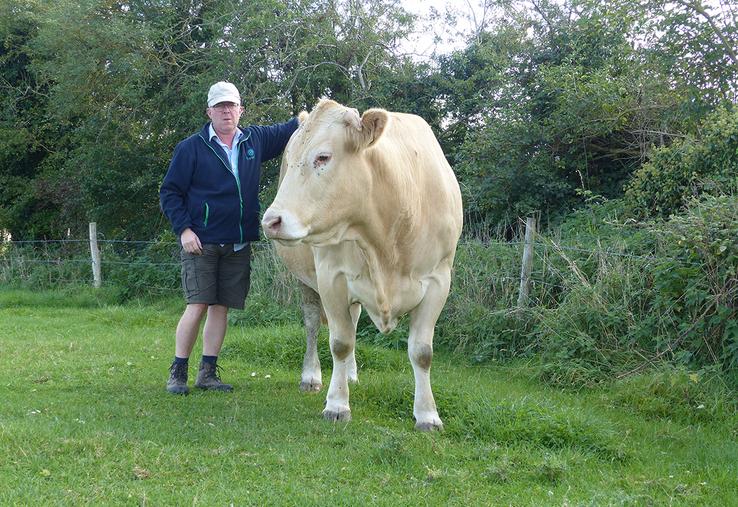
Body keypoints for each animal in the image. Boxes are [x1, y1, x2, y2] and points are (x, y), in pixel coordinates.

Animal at [261, 99, 463, 431]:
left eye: (323, 157)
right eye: (289, 160)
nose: (271, 221)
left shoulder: (438, 280)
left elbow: (422, 352)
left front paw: (428, 415)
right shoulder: (331, 278)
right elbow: (340, 342)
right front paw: (337, 404)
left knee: (353, 321)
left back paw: (351, 374)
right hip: (306, 280)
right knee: (314, 324)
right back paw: (312, 376)